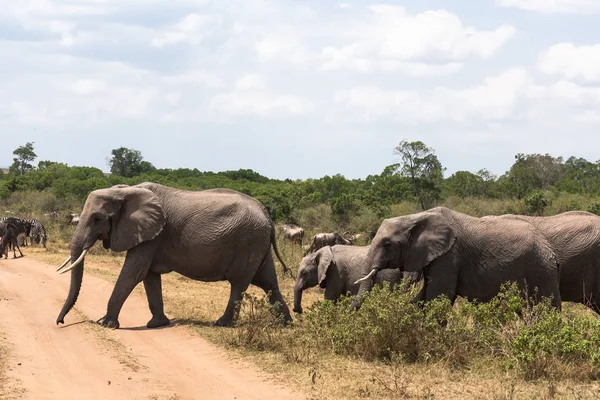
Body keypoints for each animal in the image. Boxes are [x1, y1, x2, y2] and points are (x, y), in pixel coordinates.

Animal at [55, 183, 294, 330]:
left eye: (97, 218)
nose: (60, 322)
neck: (125, 190)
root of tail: (267, 216)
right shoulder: (150, 234)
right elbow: (149, 276)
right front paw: (157, 324)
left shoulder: (152, 235)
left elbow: (134, 272)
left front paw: (105, 324)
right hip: (257, 243)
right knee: (268, 283)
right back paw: (287, 325)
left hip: (247, 242)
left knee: (239, 284)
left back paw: (222, 324)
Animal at [352, 206, 564, 310]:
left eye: (387, 244)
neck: (416, 217)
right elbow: (424, 296)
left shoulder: (450, 256)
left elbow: (438, 296)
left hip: (540, 268)